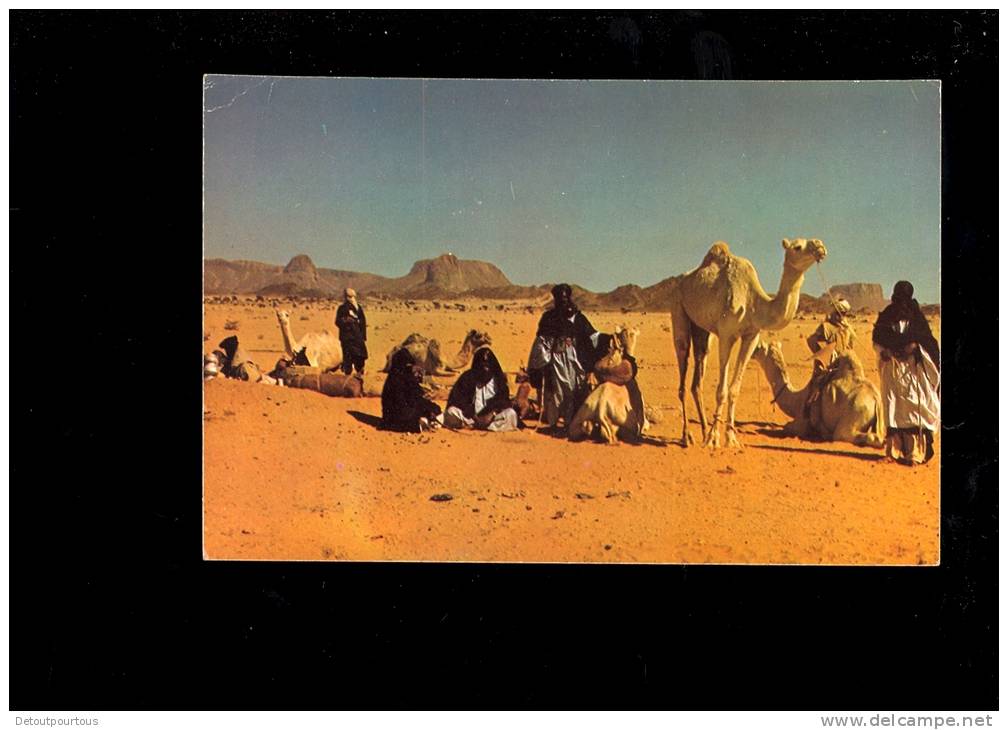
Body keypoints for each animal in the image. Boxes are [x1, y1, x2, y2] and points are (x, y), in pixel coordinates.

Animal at [669, 238, 827, 449]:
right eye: (797, 247)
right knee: (682, 364)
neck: (754, 304)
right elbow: (721, 390)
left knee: (697, 377)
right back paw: (687, 436)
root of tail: (681, 281)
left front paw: (730, 438)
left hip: (703, 331)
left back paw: (702, 432)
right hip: (678, 307)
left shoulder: (751, 337)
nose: (820, 246)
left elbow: (734, 389)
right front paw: (713, 439)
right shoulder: (726, 335)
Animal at [750, 341, 884, 447]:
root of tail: (875, 399)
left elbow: (787, 427)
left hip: (856, 411)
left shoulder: (802, 422)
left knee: (846, 434)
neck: (797, 399)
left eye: (759, 347)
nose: (752, 353)